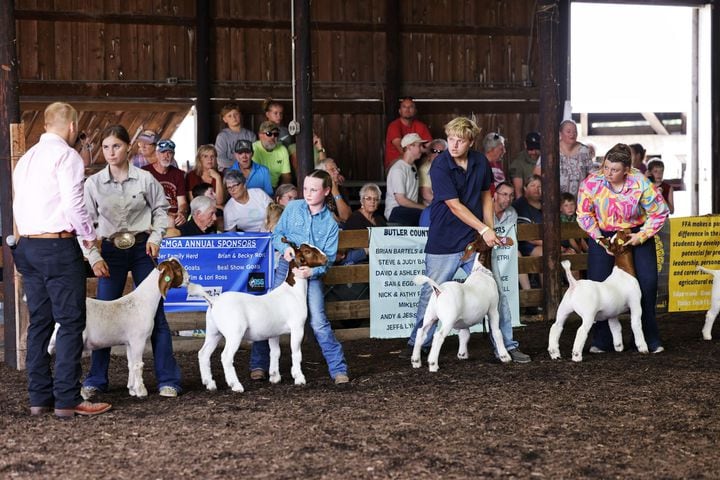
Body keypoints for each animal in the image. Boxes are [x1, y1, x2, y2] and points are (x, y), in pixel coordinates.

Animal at [190, 238, 328, 392]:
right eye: (307, 251)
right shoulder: (297, 328)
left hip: (213, 332)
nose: (326, 258)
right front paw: (299, 378)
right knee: (226, 357)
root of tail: (214, 301)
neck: (293, 292)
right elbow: (296, 353)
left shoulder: (274, 333)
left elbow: (275, 352)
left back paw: (210, 384)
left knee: (203, 354)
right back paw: (236, 385)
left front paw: (274, 377)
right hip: (234, 333)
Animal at [410, 234, 512, 374]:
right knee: (438, 336)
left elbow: (464, 334)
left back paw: (416, 361)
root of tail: (439, 290)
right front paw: (504, 356)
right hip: (448, 319)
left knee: (421, 332)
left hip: (430, 315)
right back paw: (433, 364)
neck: (481, 271)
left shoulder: (464, 319)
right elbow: (497, 332)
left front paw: (462, 354)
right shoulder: (492, 310)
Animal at [548, 231, 648, 362]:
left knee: (556, 327)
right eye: (622, 236)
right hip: (588, 315)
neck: (623, 271)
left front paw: (619, 347)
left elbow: (616, 328)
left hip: (563, 310)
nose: (623, 230)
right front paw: (643, 348)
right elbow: (636, 325)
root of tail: (575, 284)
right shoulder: (635, 304)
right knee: (581, 331)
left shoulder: (612, 313)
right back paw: (576, 356)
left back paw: (554, 354)